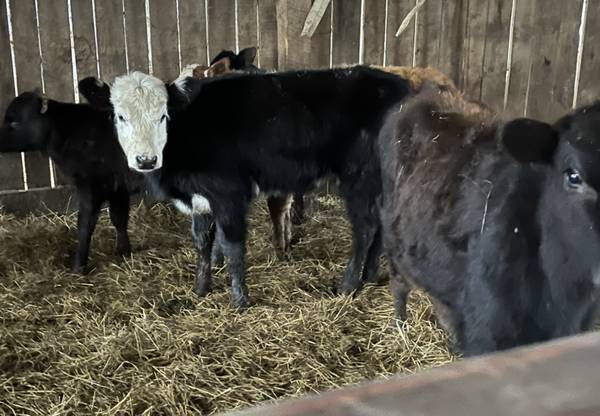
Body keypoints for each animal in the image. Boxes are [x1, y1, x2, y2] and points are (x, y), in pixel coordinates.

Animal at [0, 91, 141, 272]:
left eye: (15, 122)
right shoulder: (118, 188)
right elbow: (119, 219)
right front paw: (124, 253)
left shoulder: (91, 186)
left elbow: (85, 226)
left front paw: (78, 268)